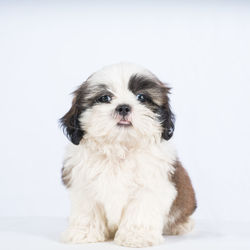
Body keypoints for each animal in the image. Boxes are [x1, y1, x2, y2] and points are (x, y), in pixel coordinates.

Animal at [59, 63, 196, 248]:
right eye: (105, 98)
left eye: (141, 97)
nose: (123, 107)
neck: (120, 147)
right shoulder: (83, 185)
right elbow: (87, 211)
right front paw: (84, 233)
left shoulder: (149, 186)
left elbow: (140, 211)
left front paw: (137, 236)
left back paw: (181, 225)